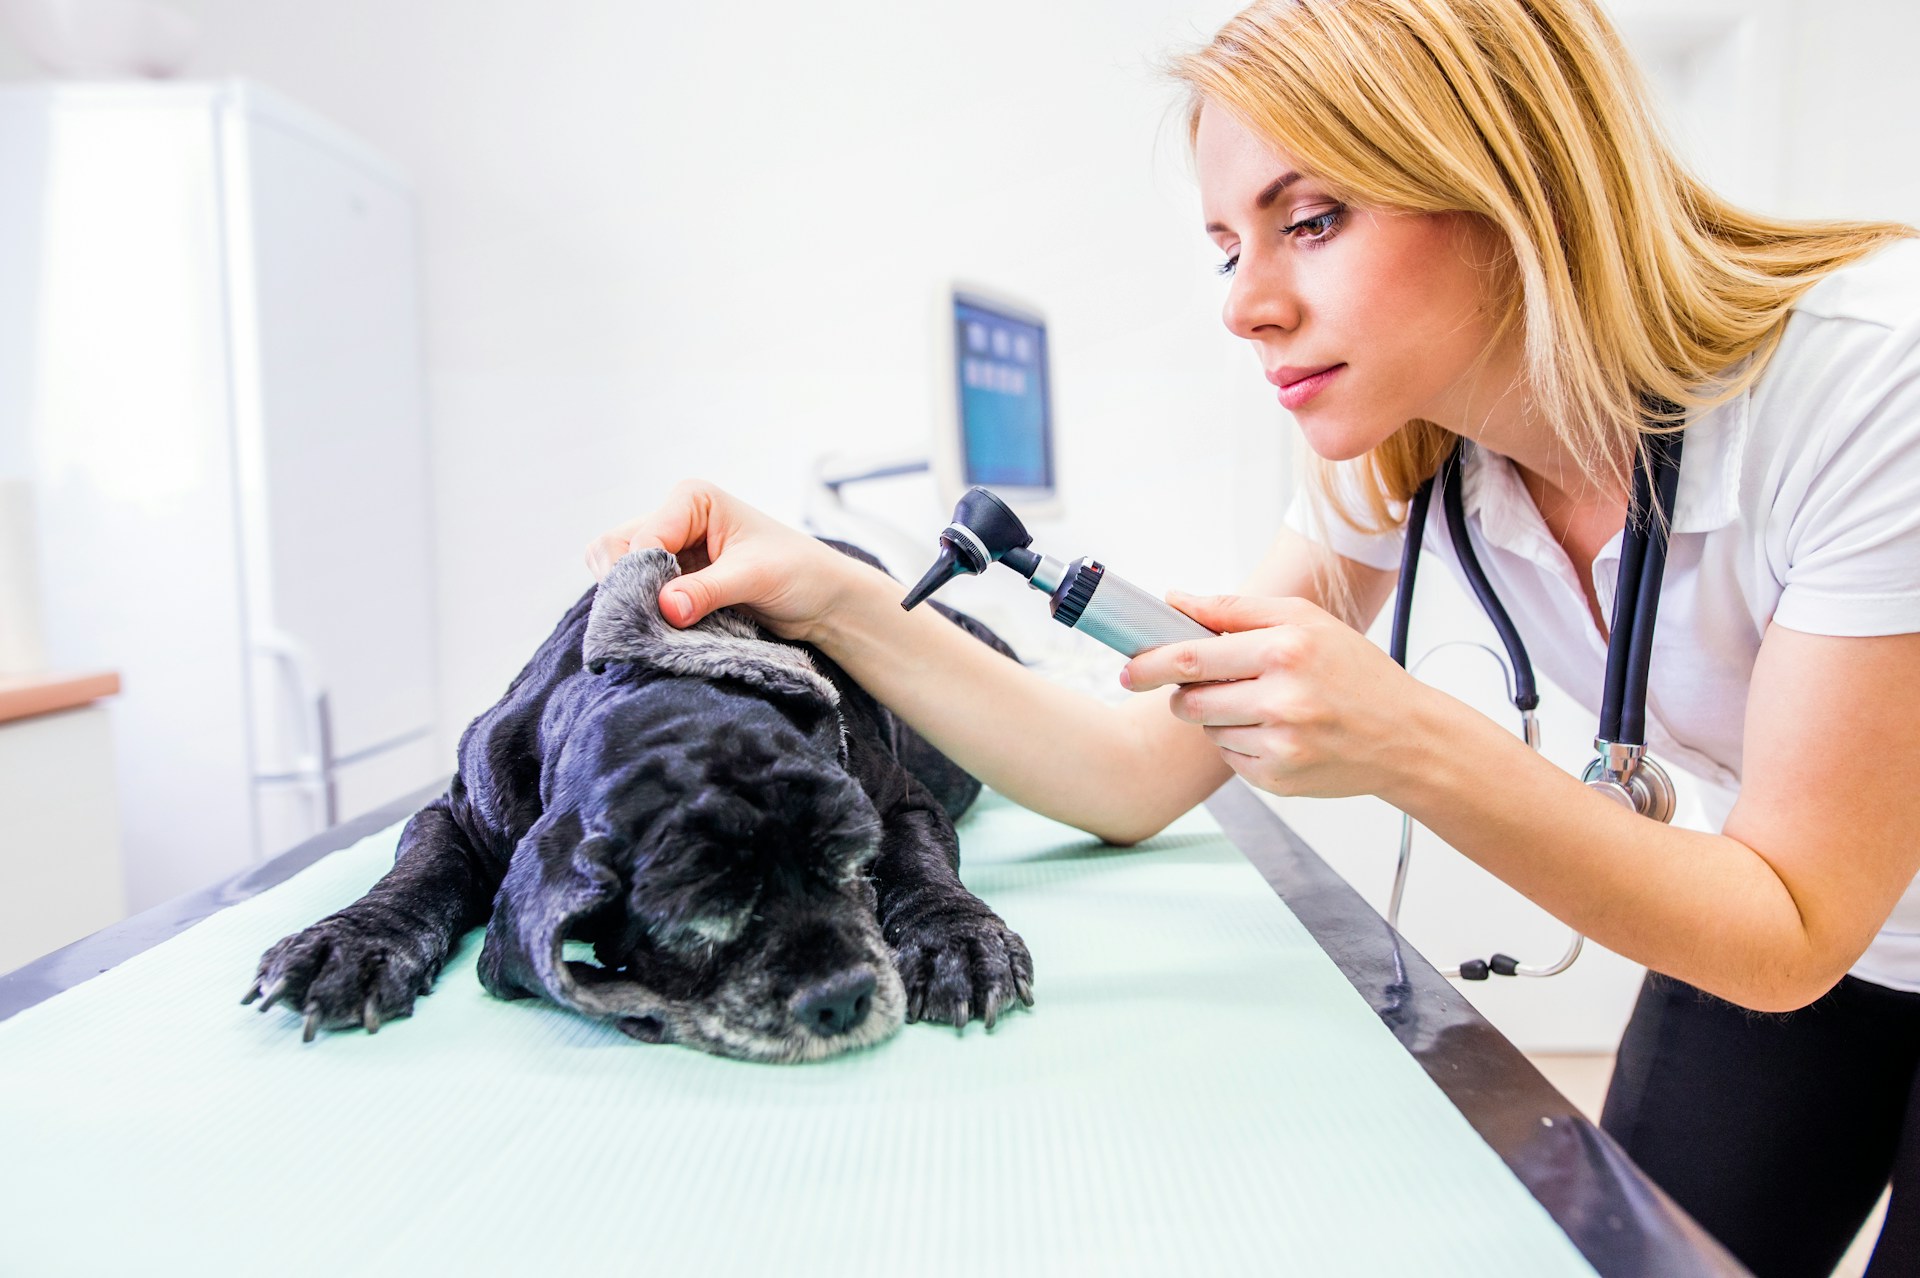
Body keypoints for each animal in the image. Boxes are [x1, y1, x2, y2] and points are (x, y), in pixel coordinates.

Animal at [251, 541, 1036, 1059]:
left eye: (850, 865)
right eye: (696, 923)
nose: (841, 996)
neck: (659, 686)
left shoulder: (899, 802)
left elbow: (920, 870)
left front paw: (955, 943)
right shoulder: (459, 811)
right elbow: (421, 873)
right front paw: (354, 943)